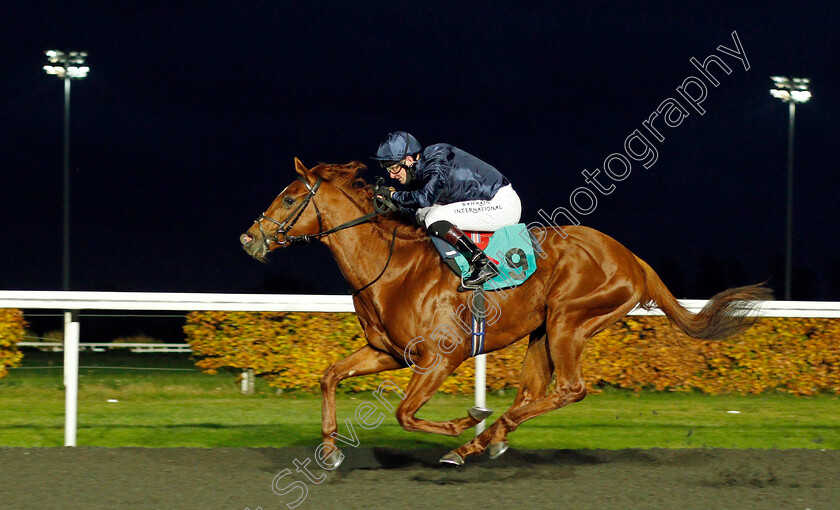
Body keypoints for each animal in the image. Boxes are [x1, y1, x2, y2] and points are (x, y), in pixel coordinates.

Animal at [240, 159, 772, 466]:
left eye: (290, 197)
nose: (249, 238)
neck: (392, 269)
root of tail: (631, 258)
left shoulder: (440, 359)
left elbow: (405, 413)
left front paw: (462, 424)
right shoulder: (387, 352)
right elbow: (330, 375)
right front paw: (329, 450)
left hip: (568, 321)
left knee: (569, 389)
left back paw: (474, 441)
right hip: (543, 331)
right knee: (534, 391)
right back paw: (490, 439)